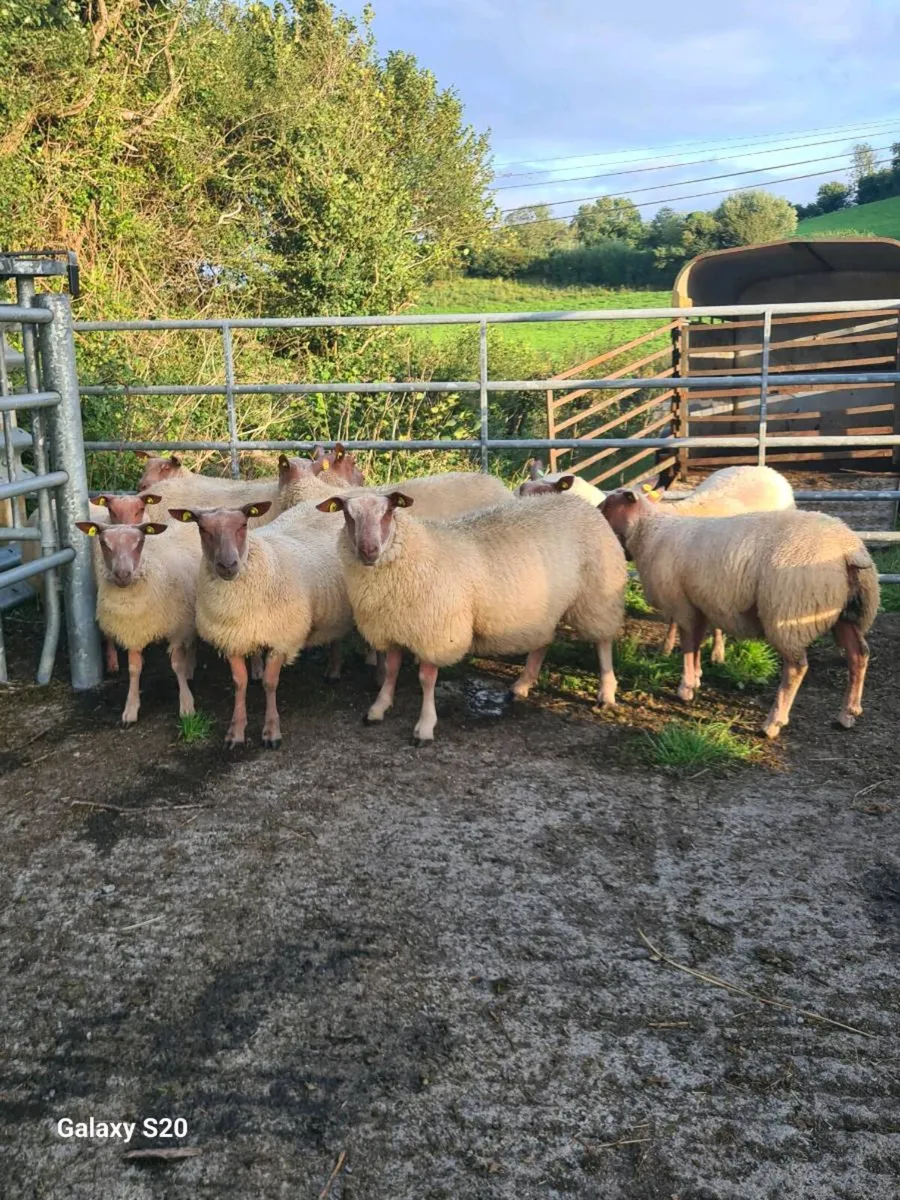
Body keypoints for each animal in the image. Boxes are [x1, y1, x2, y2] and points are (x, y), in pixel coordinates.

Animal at [74, 518, 200, 726]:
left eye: (140, 542)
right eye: (103, 542)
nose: (122, 574)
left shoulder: (177, 628)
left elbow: (177, 665)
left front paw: (187, 705)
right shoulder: (132, 629)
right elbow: (134, 669)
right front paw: (130, 709)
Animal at [168, 500, 353, 749]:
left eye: (243, 525)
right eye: (202, 529)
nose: (228, 565)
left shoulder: (280, 638)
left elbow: (270, 683)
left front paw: (271, 732)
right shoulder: (232, 639)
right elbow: (239, 683)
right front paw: (236, 733)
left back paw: (333, 671)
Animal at [316, 490, 627, 745]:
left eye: (389, 511)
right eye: (347, 514)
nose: (368, 551)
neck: (414, 552)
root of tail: (582, 503)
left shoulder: (437, 631)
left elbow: (426, 679)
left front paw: (425, 727)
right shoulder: (392, 627)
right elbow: (391, 670)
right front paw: (378, 708)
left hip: (597, 595)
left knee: (603, 642)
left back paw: (607, 692)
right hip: (544, 608)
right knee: (543, 641)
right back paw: (522, 684)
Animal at [599, 489, 879, 739]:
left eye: (605, 508)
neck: (650, 532)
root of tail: (848, 549)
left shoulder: (683, 604)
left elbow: (688, 645)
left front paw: (686, 688)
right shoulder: (699, 603)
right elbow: (697, 643)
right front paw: (697, 677)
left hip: (789, 612)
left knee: (796, 669)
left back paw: (773, 723)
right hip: (847, 614)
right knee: (859, 655)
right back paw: (848, 714)